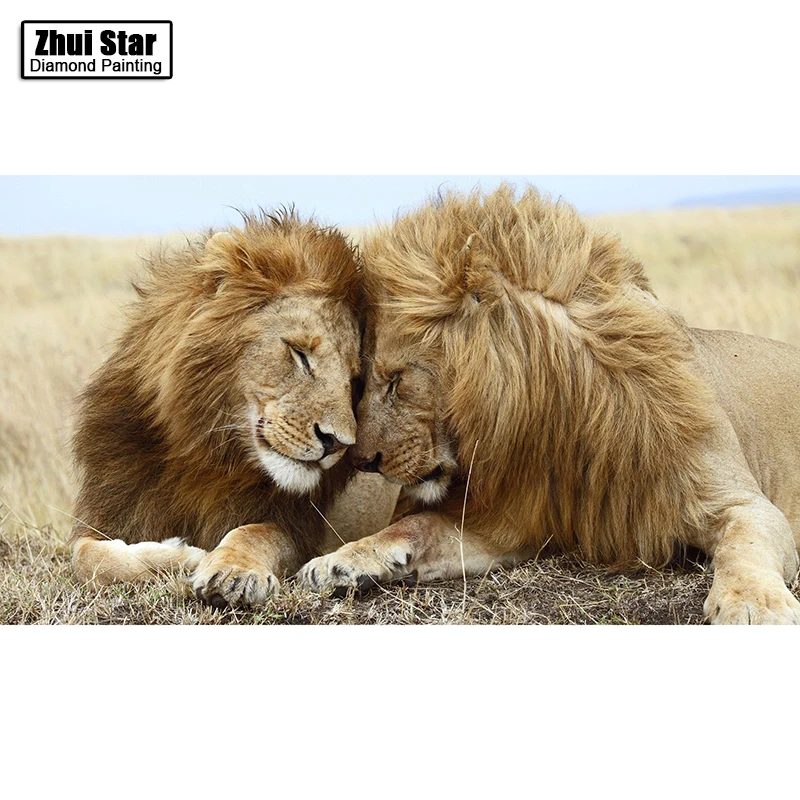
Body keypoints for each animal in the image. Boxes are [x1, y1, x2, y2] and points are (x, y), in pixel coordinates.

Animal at [70, 208, 376, 608]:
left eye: (354, 380)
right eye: (299, 353)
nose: (338, 443)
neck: (206, 452)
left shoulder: (297, 528)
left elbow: (254, 533)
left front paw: (232, 571)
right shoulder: (110, 512)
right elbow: (86, 557)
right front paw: (182, 555)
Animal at [297, 185, 800, 624]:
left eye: (397, 380)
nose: (362, 461)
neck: (562, 413)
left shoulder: (742, 503)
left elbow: (744, 545)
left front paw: (752, 605)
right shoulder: (511, 521)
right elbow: (416, 526)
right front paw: (339, 561)